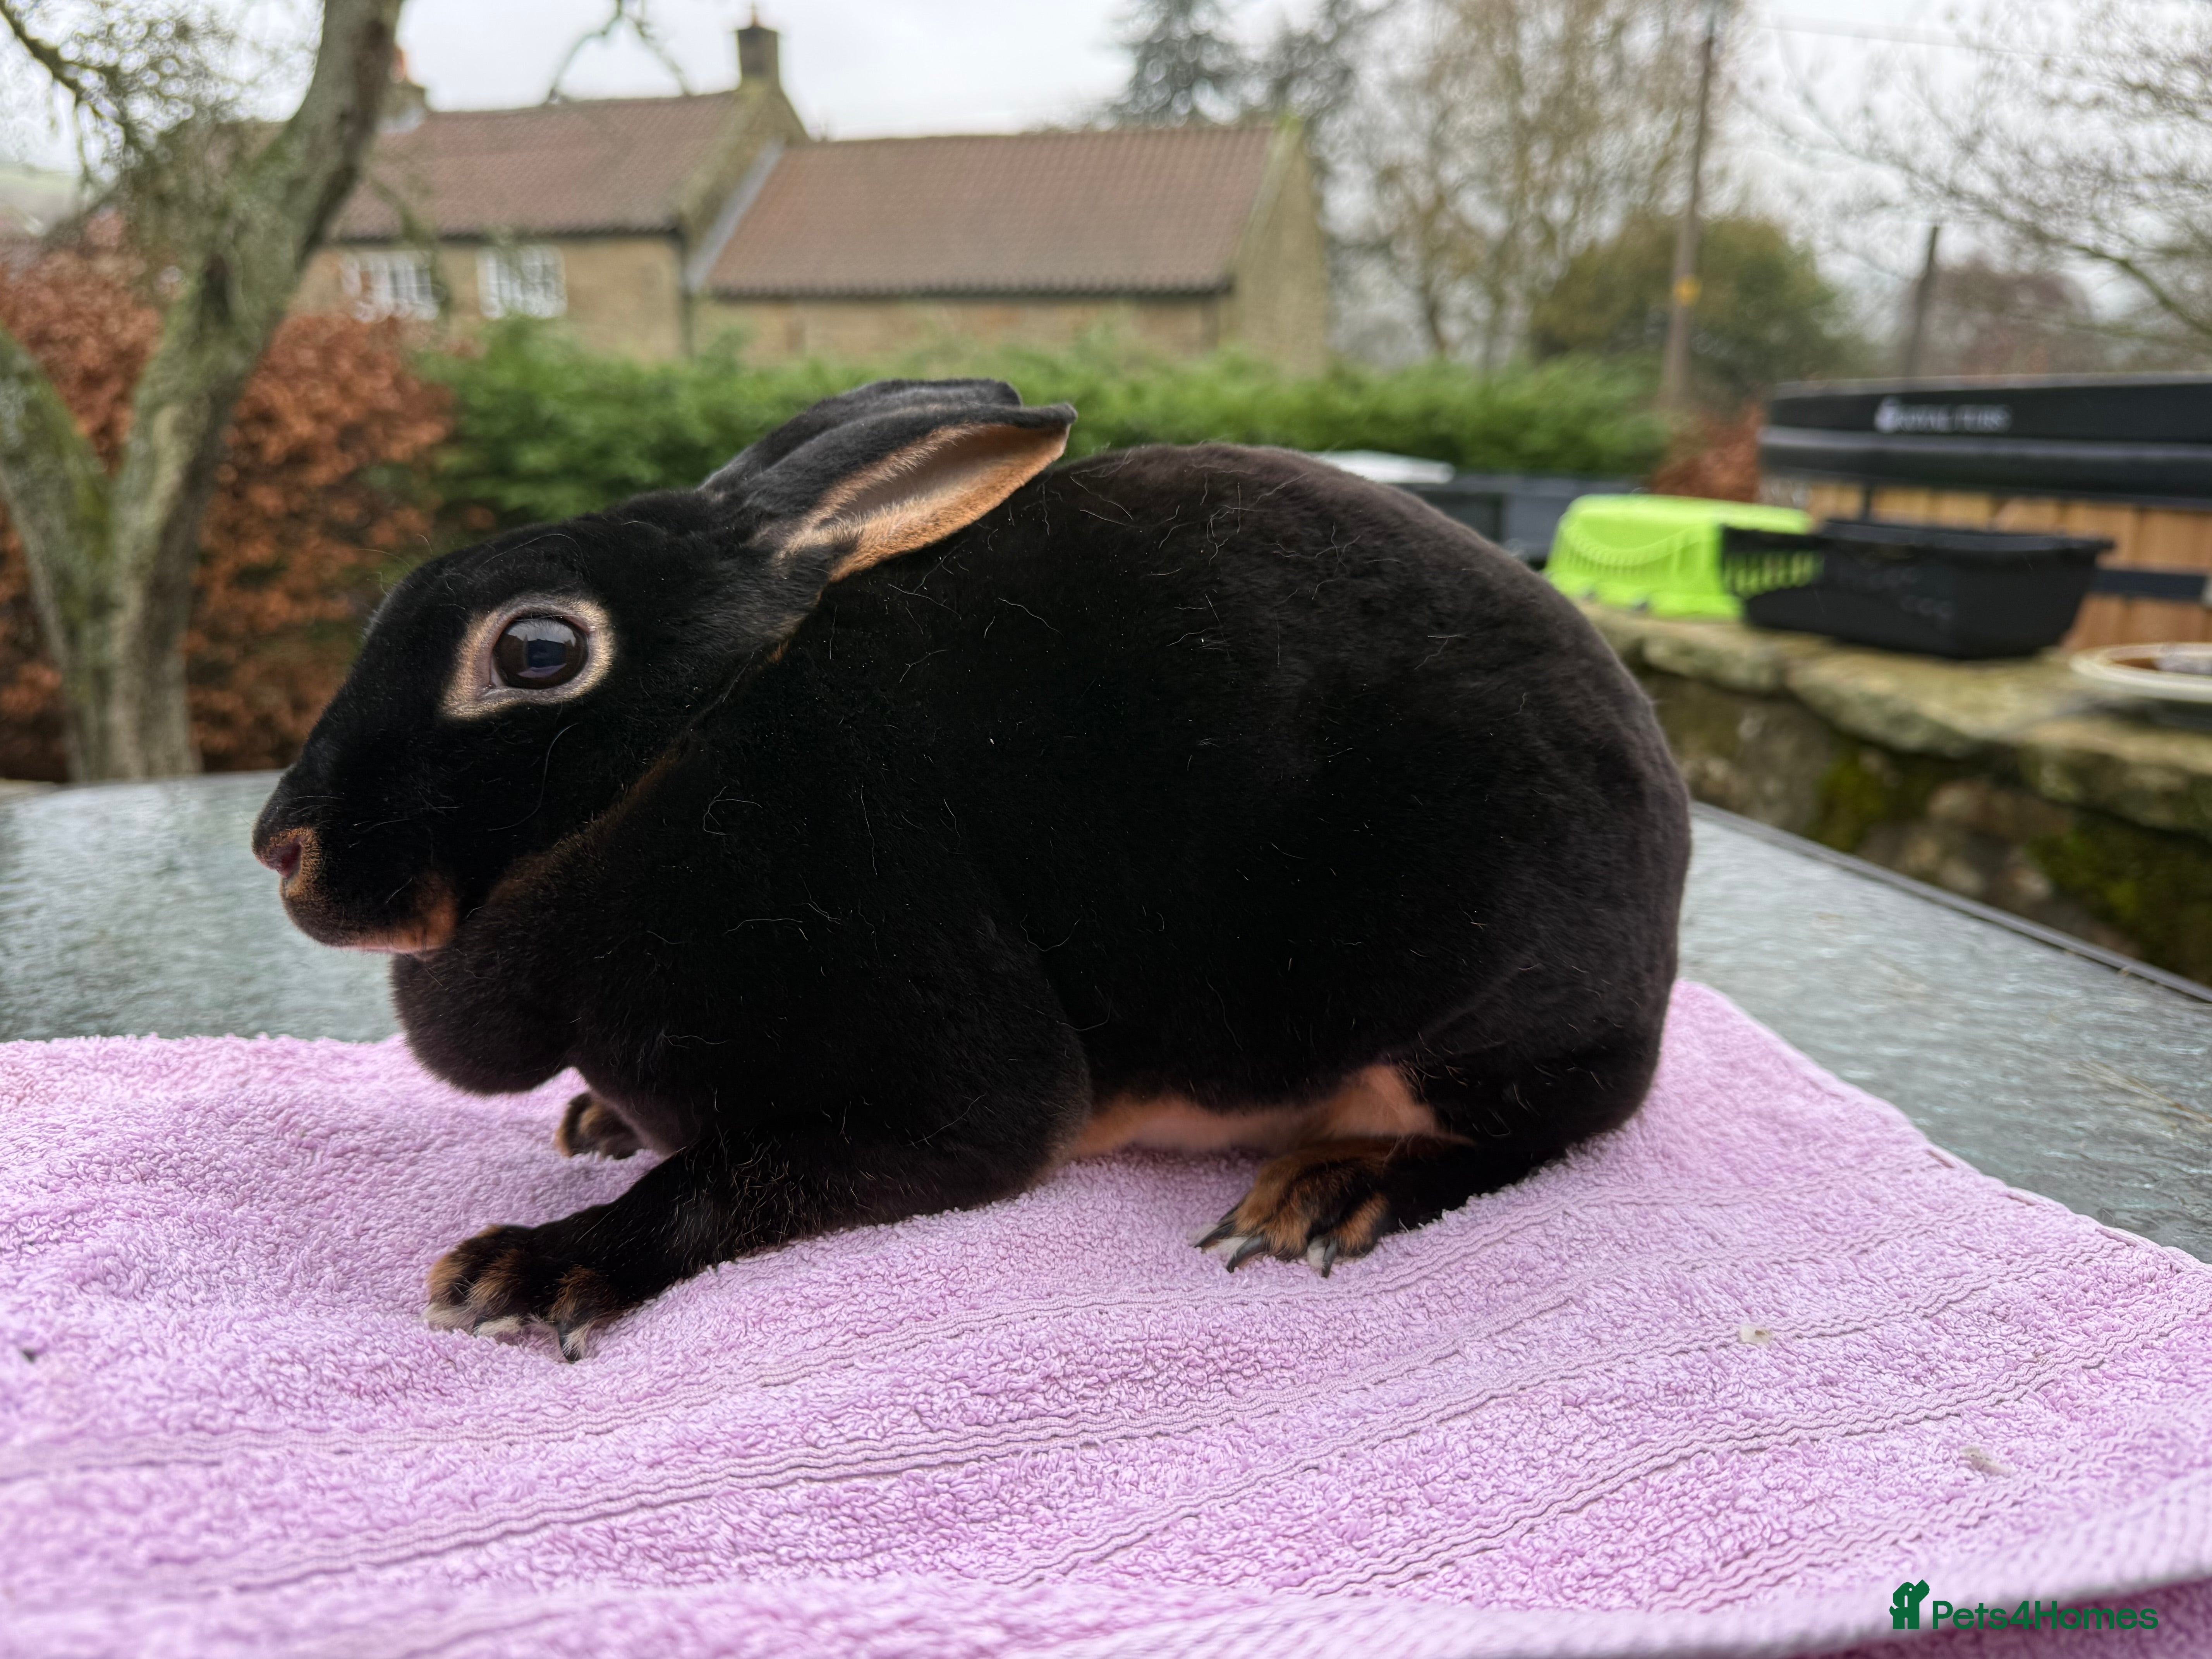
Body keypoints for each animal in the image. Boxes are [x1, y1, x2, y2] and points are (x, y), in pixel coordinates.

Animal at [254, 377, 1689, 1360]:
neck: (682, 759)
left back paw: (1329, 1193)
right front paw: (594, 1125)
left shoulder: (949, 1093)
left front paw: (525, 1272)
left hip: (1475, 995)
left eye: (538, 651)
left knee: (1536, 1125)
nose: (283, 846)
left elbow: (717, 1183)